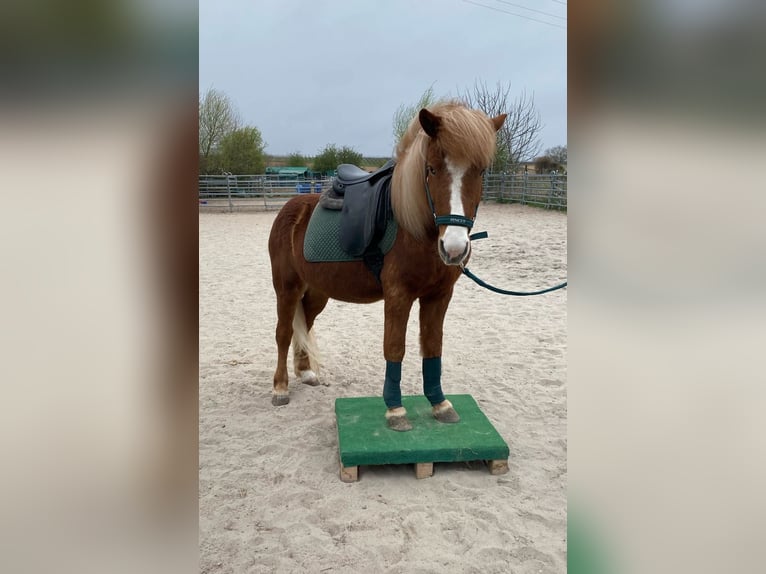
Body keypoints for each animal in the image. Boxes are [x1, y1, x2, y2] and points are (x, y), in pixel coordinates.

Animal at [268, 101, 506, 431]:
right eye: (432, 169)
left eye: (481, 171)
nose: (454, 248)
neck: (416, 228)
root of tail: (290, 208)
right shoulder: (398, 295)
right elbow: (394, 347)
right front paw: (395, 410)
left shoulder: (439, 296)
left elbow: (432, 347)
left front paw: (440, 404)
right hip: (286, 287)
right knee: (283, 332)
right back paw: (280, 388)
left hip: (316, 292)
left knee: (304, 323)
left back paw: (305, 372)